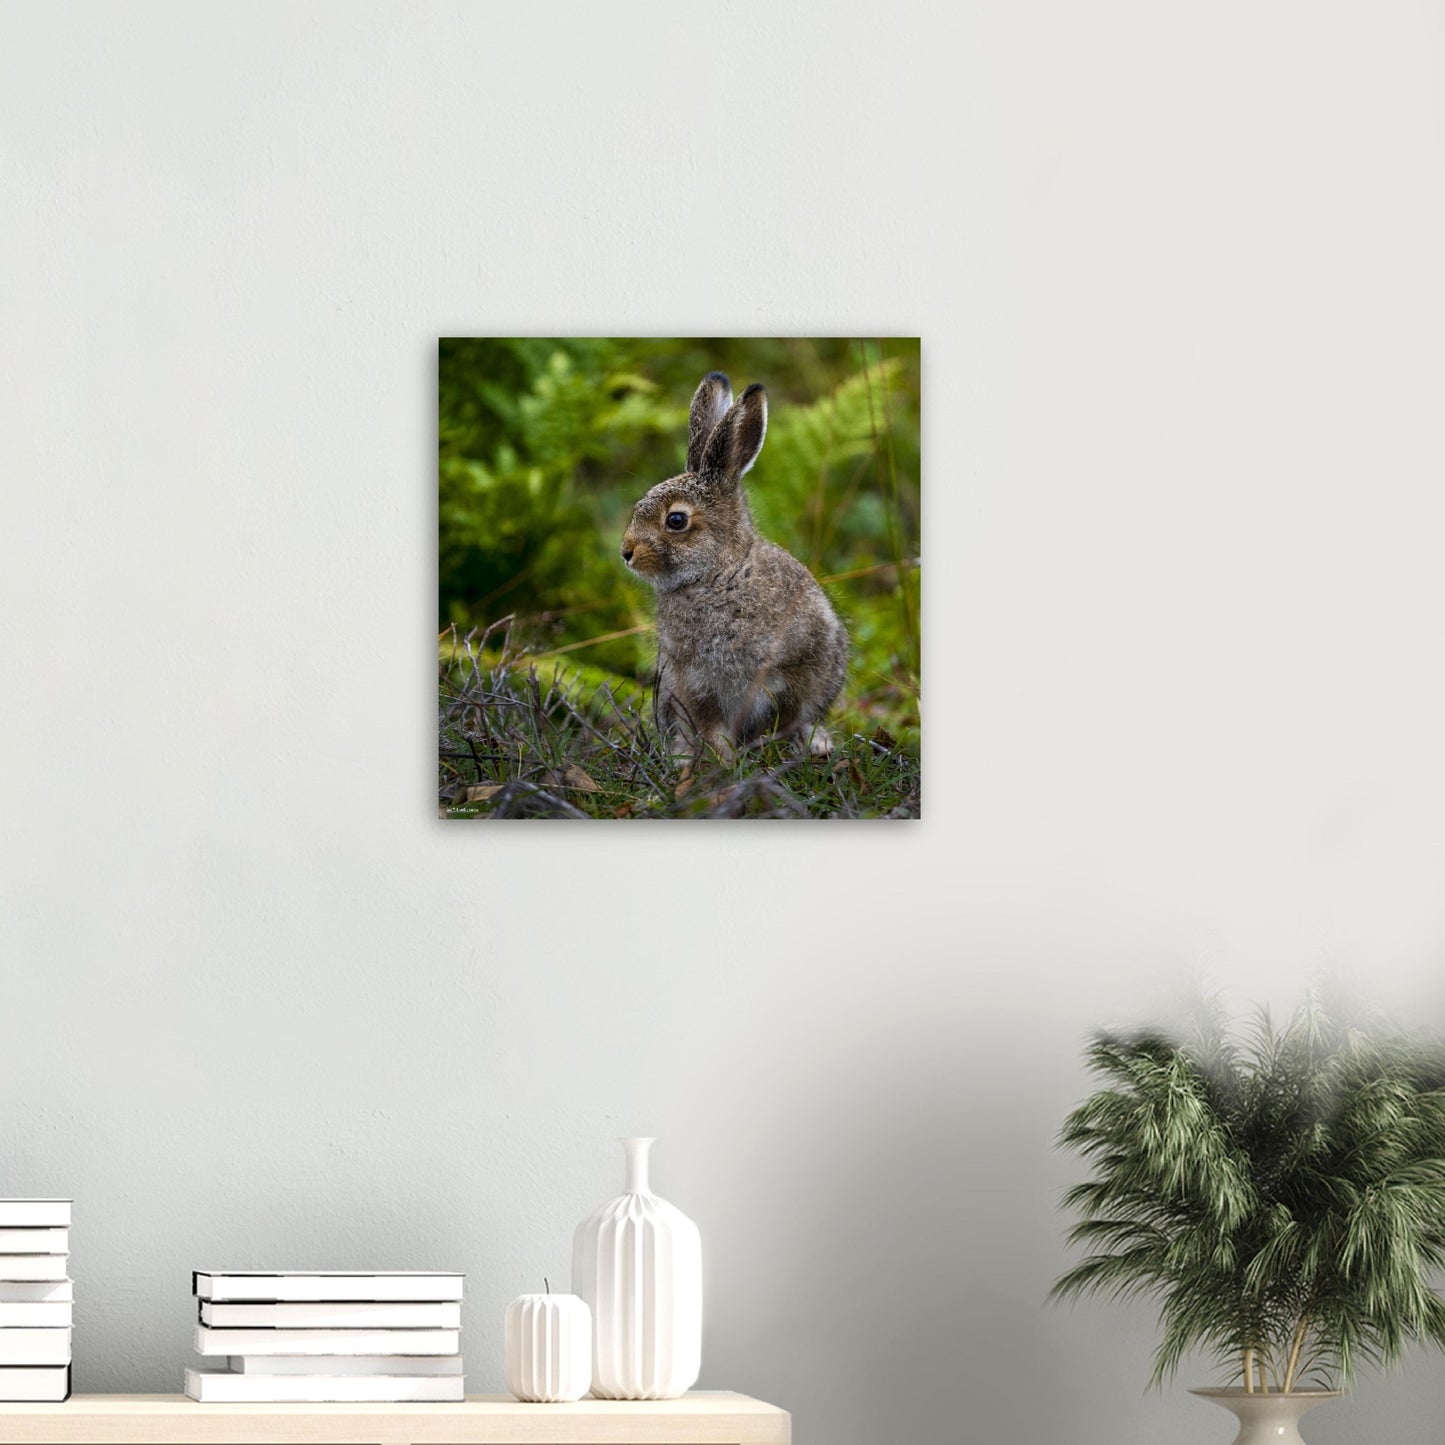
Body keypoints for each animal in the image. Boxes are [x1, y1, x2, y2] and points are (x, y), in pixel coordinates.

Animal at [621, 371, 848, 759]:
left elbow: (787, 714)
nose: (626, 551)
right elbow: (708, 724)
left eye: (676, 520)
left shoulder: (797, 667)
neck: (718, 573)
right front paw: (716, 758)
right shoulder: (693, 681)